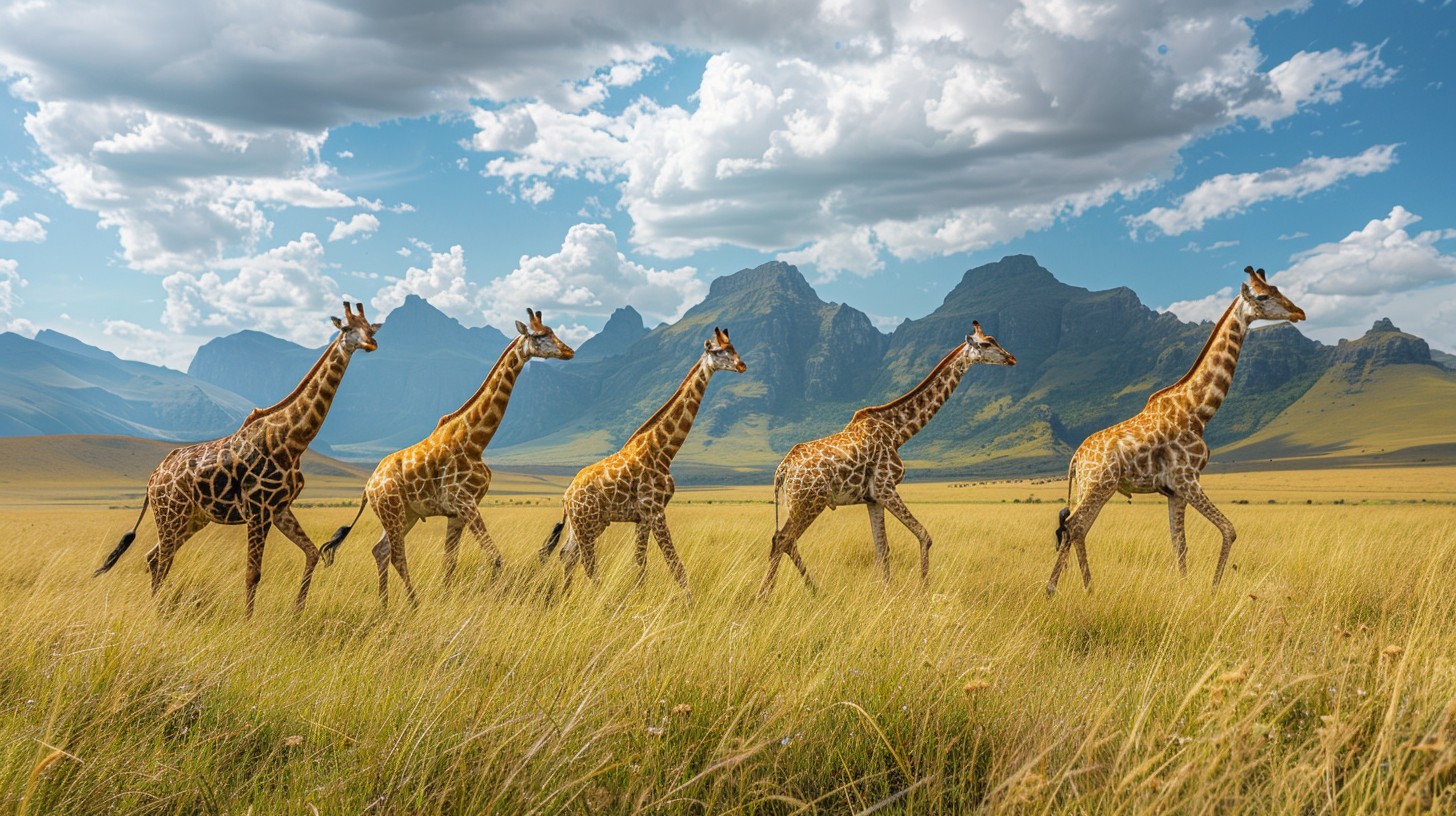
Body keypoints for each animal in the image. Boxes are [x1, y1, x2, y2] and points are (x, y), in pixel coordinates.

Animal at [94, 302, 381, 615]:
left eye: (371, 327)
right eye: (347, 328)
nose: (371, 343)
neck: (292, 441)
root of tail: (152, 479)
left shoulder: (279, 509)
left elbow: (312, 552)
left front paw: (298, 613)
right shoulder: (258, 511)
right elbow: (253, 573)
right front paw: (248, 621)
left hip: (192, 518)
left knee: (154, 557)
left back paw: (158, 609)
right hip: (170, 513)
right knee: (162, 558)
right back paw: (156, 612)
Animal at [321, 309, 575, 607]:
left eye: (552, 330)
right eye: (538, 335)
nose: (568, 351)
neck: (476, 441)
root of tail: (367, 487)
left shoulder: (458, 512)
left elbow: (450, 562)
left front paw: (446, 599)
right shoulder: (466, 503)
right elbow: (495, 558)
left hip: (405, 514)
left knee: (380, 550)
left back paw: (385, 605)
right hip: (391, 511)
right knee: (395, 554)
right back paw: (412, 604)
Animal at [537, 327, 747, 596]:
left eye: (734, 347)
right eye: (719, 351)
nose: (742, 365)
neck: (664, 450)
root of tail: (566, 496)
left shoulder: (643, 517)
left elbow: (640, 564)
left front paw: (640, 596)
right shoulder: (655, 510)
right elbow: (675, 565)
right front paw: (688, 602)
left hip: (585, 523)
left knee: (567, 555)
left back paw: (567, 595)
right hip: (588, 523)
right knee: (587, 561)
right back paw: (599, 597)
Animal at [757, 322, 1016, 597]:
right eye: (987, 343)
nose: (1011, 358)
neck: (898, 432)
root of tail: (782, 470)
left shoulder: (873, 498)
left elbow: (882, 549)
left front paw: (886, 592)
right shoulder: (885, 487)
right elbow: (924, 535)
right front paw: (923, 591)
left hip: (795, 503)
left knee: (784, 540)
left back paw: (812, 591)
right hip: (810, 501)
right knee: (783, 539)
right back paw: (766, 596)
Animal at [1046, 266, 1307, 596]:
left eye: (1277, 289)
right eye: (1262, 296)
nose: (1299, 312)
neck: (1198, 411)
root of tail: (1076, 458)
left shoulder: (1175, 491)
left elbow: (1180, 544)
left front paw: (1185, 587)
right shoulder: (1187, 479)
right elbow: (1228, 529)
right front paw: (1212, 589)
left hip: (1091, 486)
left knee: (1079, 528)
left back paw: (1089, 589)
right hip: (1098, 484)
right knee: (1073, 525)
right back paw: (1053, 589)